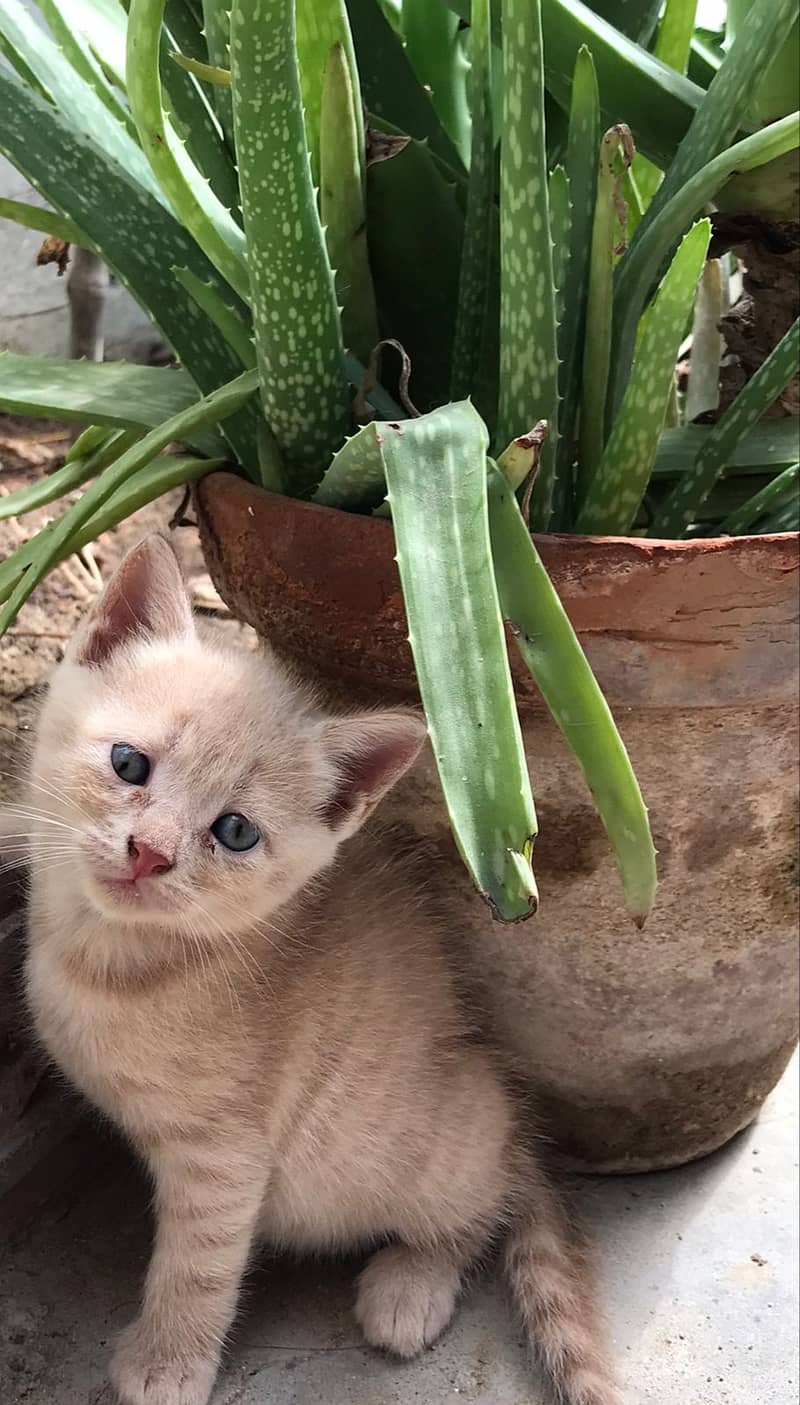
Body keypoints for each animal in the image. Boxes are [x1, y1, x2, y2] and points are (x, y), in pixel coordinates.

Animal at [9, 533, 618, 1405]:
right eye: (129, 763)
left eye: (234, 831)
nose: (150, 851)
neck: (106, 960)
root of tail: (504, 1101)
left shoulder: (224, 1157)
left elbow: (197, 1267)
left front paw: (167, 1363)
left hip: (432, 1149)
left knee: (481, 1208)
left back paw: (410, 1285)